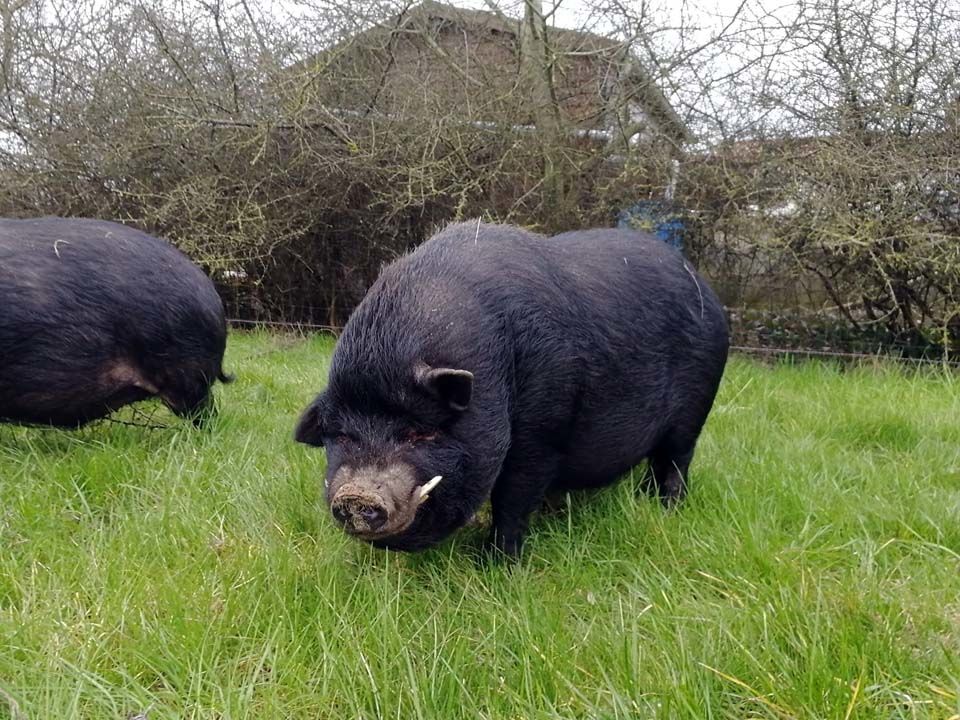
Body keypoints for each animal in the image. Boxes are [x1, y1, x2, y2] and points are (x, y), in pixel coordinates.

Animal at [294, 221, 729, 557]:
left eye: (420, 432)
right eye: (342, 436)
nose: (357, 496)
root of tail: (706, 288)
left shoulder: (543, 431)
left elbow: (514, 497)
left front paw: (495, 563)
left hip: (696, 407)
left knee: (676, 460)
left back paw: (665, 508)